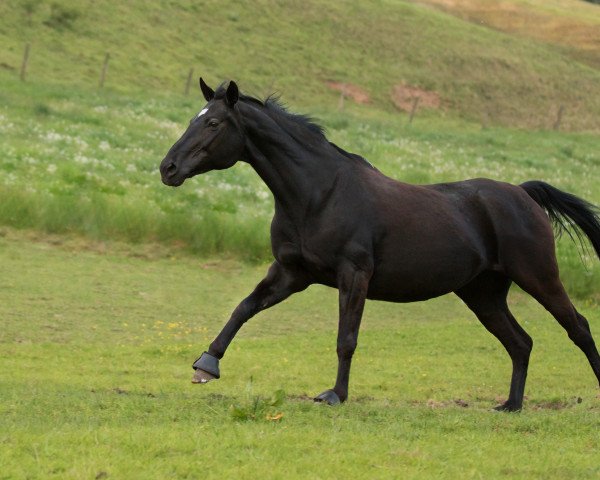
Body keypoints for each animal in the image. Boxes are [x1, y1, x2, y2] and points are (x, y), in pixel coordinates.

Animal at [159, 79, 600, 408]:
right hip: (483, 293)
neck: (320, 194)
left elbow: (346, 338)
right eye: (196, 118)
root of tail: (523, 193)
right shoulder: (291, 273)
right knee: (521, 343)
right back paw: (510, 405)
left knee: (577, 326)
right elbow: (243, 308)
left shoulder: (354, 274)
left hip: (538, 276)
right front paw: (206, 365)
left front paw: (335, 395)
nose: (168, 168)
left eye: (214, 124)